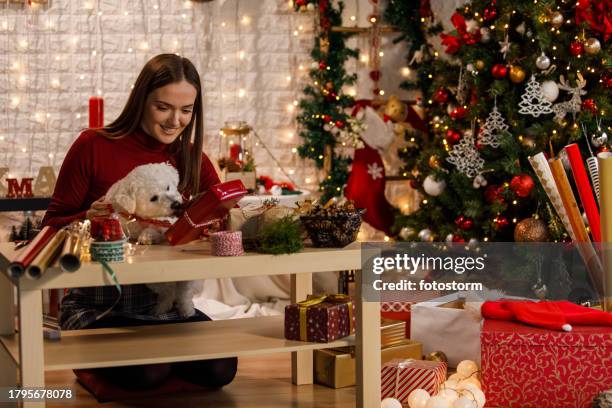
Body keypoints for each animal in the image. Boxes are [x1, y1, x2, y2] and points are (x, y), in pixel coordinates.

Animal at [104, 163, 202, 318]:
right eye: (154, 198)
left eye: (168, 187)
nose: (176, 204)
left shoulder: (166, 223)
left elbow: (159, 227)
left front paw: (148, 235)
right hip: (156, 281)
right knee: (168, 293)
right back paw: (161, 309)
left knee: (183, 293)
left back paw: (187, 310)